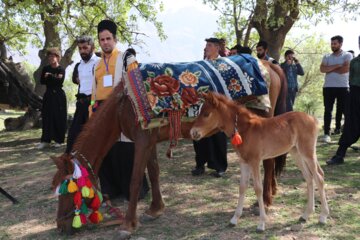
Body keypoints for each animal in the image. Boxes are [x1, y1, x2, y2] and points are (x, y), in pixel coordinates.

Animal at [51, 59, 286, 235]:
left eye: (67, 191)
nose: (60, 225)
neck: (124, 104)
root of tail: (269, 64)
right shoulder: (149, 142)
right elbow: (154, 172)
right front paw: (156, 209)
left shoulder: (142, 142)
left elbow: (135, 180)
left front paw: (128, 224)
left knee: (269, 161)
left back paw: (265, 201)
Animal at [191, 91, 330, 231]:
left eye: (206, 114)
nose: (193, 132)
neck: (244, 129)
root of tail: (312, 118)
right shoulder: (243, 162)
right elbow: (242, 187)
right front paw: (234, 219)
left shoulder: (255, 161)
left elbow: (258, 188)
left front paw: (261, 223)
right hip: (296, 153)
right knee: (309, 177)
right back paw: (306, 215)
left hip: (307, 152)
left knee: (319, 177)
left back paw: (323, 216)